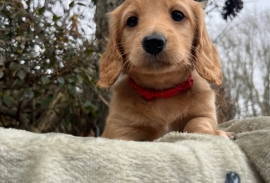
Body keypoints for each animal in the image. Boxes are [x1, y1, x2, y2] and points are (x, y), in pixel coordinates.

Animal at [97, 0, 232, 141]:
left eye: (178, 15)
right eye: (132, 21)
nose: (153, 43)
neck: (163, 91)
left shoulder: (204, 113)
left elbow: (196, 122)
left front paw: (212, 133)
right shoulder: (119, 127)